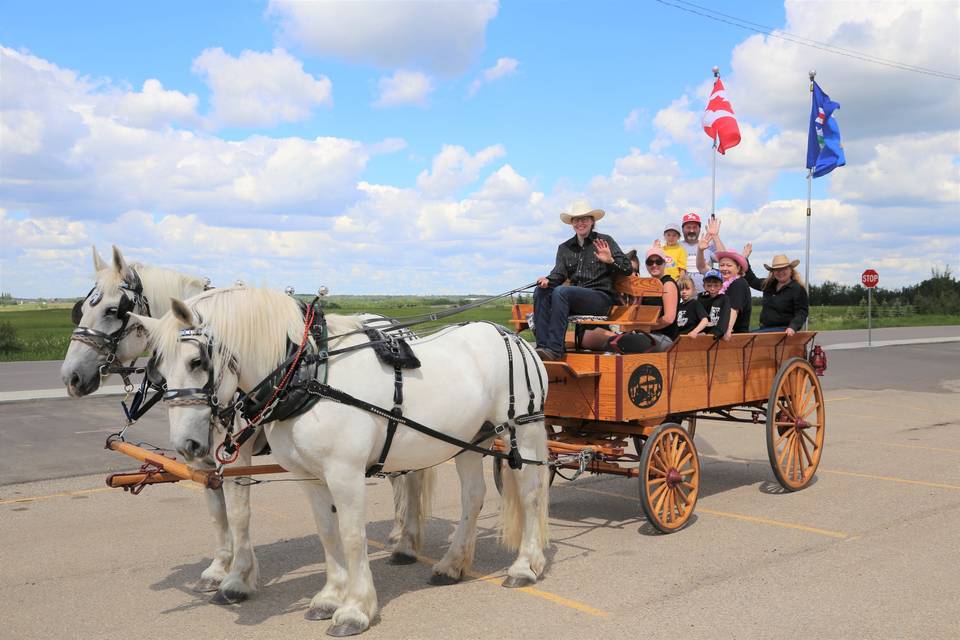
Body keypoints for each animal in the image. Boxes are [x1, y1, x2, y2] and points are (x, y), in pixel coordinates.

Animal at [138, 288, 552, 636]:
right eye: (158, 367)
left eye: (196, 361)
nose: (188, 445)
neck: (308, 375)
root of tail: (513, 337)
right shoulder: (310, 476)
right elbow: (326, 531)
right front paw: (329, 596)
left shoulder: (345, 473)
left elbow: (353, 536)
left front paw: (355, 608)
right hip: (469, 439)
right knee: (473, 497)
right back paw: (452, 564)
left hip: (524, 429)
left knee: (531, 494)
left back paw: (525, 565)